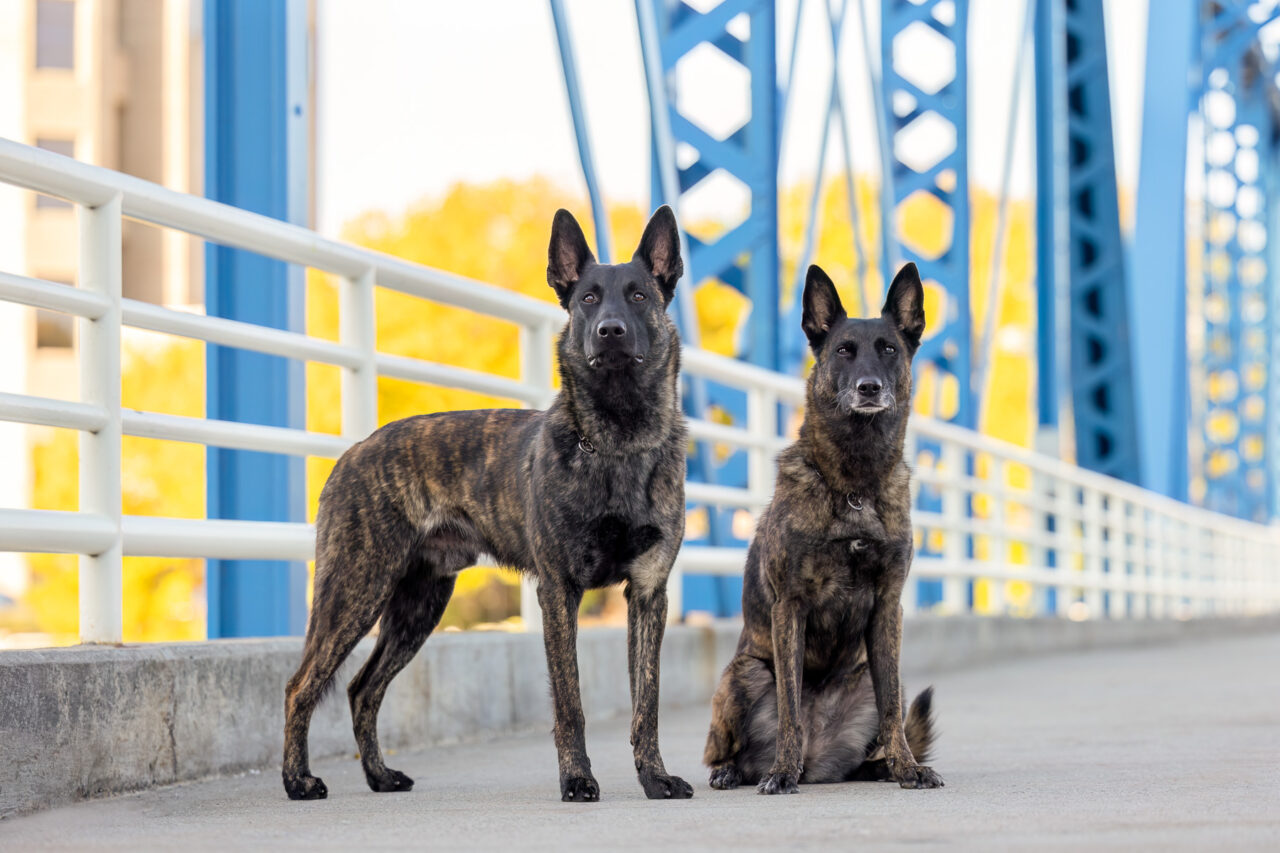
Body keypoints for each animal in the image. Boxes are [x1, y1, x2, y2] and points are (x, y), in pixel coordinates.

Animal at [284, 204, 696, 799]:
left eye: (639, 295)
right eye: (587, 298)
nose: (609, 331)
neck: (618, 441)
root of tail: (354, 451)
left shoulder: (647, 596)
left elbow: (648, 703)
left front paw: (654, 777)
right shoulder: (559, 593)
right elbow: (569, 703)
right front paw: (577, 779)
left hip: (418, 607)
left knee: (362, 688)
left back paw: (380, 775)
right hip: (356, 591)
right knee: (301, 686)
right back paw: (298, 780)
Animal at [706, 262, 947, 794]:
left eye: (889, 349)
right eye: (843, 350)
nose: (869, 387)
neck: (854, 484)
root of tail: (818, 762)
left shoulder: (888, 608)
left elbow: (894, 709)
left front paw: (907, 768)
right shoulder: (789, 607)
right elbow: (791, 706)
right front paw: (780, 773)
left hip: (869, 680)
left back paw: (876, 767)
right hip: (743, 672)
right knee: (726, 749)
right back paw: (742, 770)